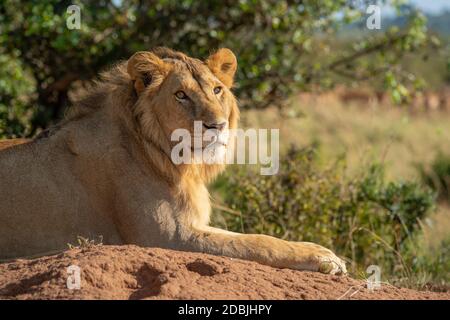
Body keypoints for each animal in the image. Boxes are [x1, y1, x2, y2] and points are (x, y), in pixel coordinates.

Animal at [0, 47, 346, 276]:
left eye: (217, 90)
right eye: (181, 95)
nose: (218, 125)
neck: (178, 162)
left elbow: (245, 238)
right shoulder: (165, 236)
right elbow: (256, 243)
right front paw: (325, 257)